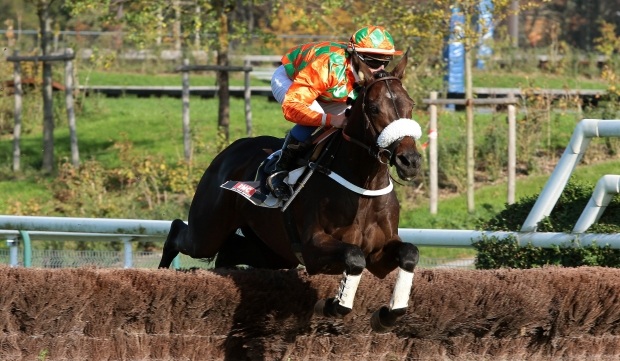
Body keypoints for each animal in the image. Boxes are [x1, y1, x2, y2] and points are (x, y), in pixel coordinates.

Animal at [157, 51, 424, 332]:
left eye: (410, 104)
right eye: (374, 108)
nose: (410, 160)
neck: (364, 185)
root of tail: (231, 149)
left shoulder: (379, 251)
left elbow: (409, 253)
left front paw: (389, 313)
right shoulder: (312, 248)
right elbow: (354, 256)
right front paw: (332, 304)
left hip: (274, 251)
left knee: (229, 251)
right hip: (208, 230)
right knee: (179, 230)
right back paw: (162, 272)